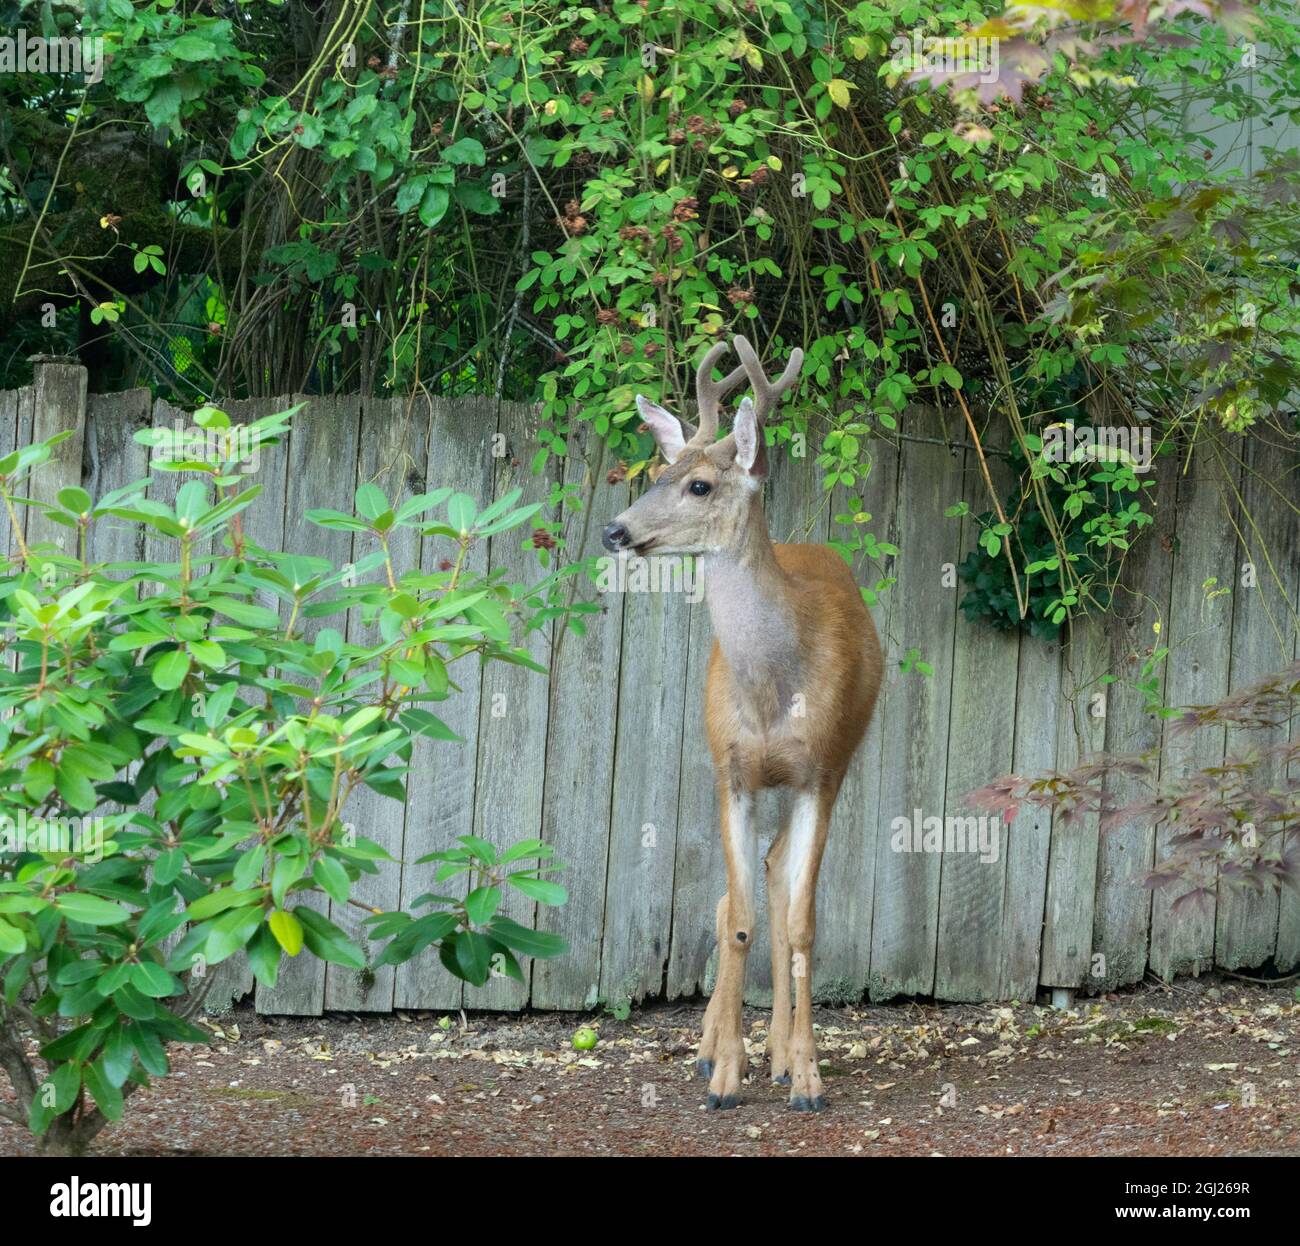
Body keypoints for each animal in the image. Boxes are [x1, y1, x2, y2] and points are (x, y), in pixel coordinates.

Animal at [601, 335, 882, 1112]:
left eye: (699, 486)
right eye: (660, 470)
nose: (616, 530)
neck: (770, 695)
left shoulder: (821, 771)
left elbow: (801, 922)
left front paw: (807, 1077)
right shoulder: (729, 770)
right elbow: (739, 922)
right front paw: (726, 1073)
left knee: (778, 880)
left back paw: (782, 1055)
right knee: (739, 894)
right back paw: (711, 1052)